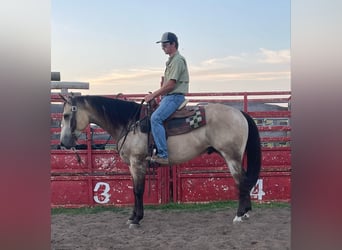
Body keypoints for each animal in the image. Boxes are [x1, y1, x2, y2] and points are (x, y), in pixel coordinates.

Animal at [59, 94, 262, 228]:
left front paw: (136, 219)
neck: (129, 123)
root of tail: (240, 113)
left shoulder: (137, 162)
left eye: (66, 115)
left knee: (241, 181)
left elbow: (138, 191)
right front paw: (133, 217)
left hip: (231, 156)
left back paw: (239, 215)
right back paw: (246, 212)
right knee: (245, 181)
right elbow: (134, 191)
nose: (63, 143)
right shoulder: (133, 165)